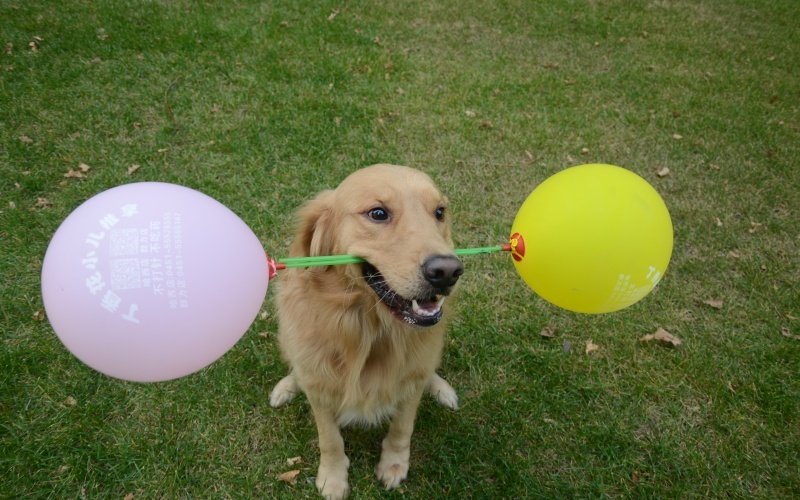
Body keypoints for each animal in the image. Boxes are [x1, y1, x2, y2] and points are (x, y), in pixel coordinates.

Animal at [272, 165, 462, 500]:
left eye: (439, 212)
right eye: (378, 213)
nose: (448, 272)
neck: (370, 331)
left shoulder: (410, 384)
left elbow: (402, 427)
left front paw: (394, 465)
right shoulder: (320, 388)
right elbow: (330, 438)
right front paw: (332, 478)